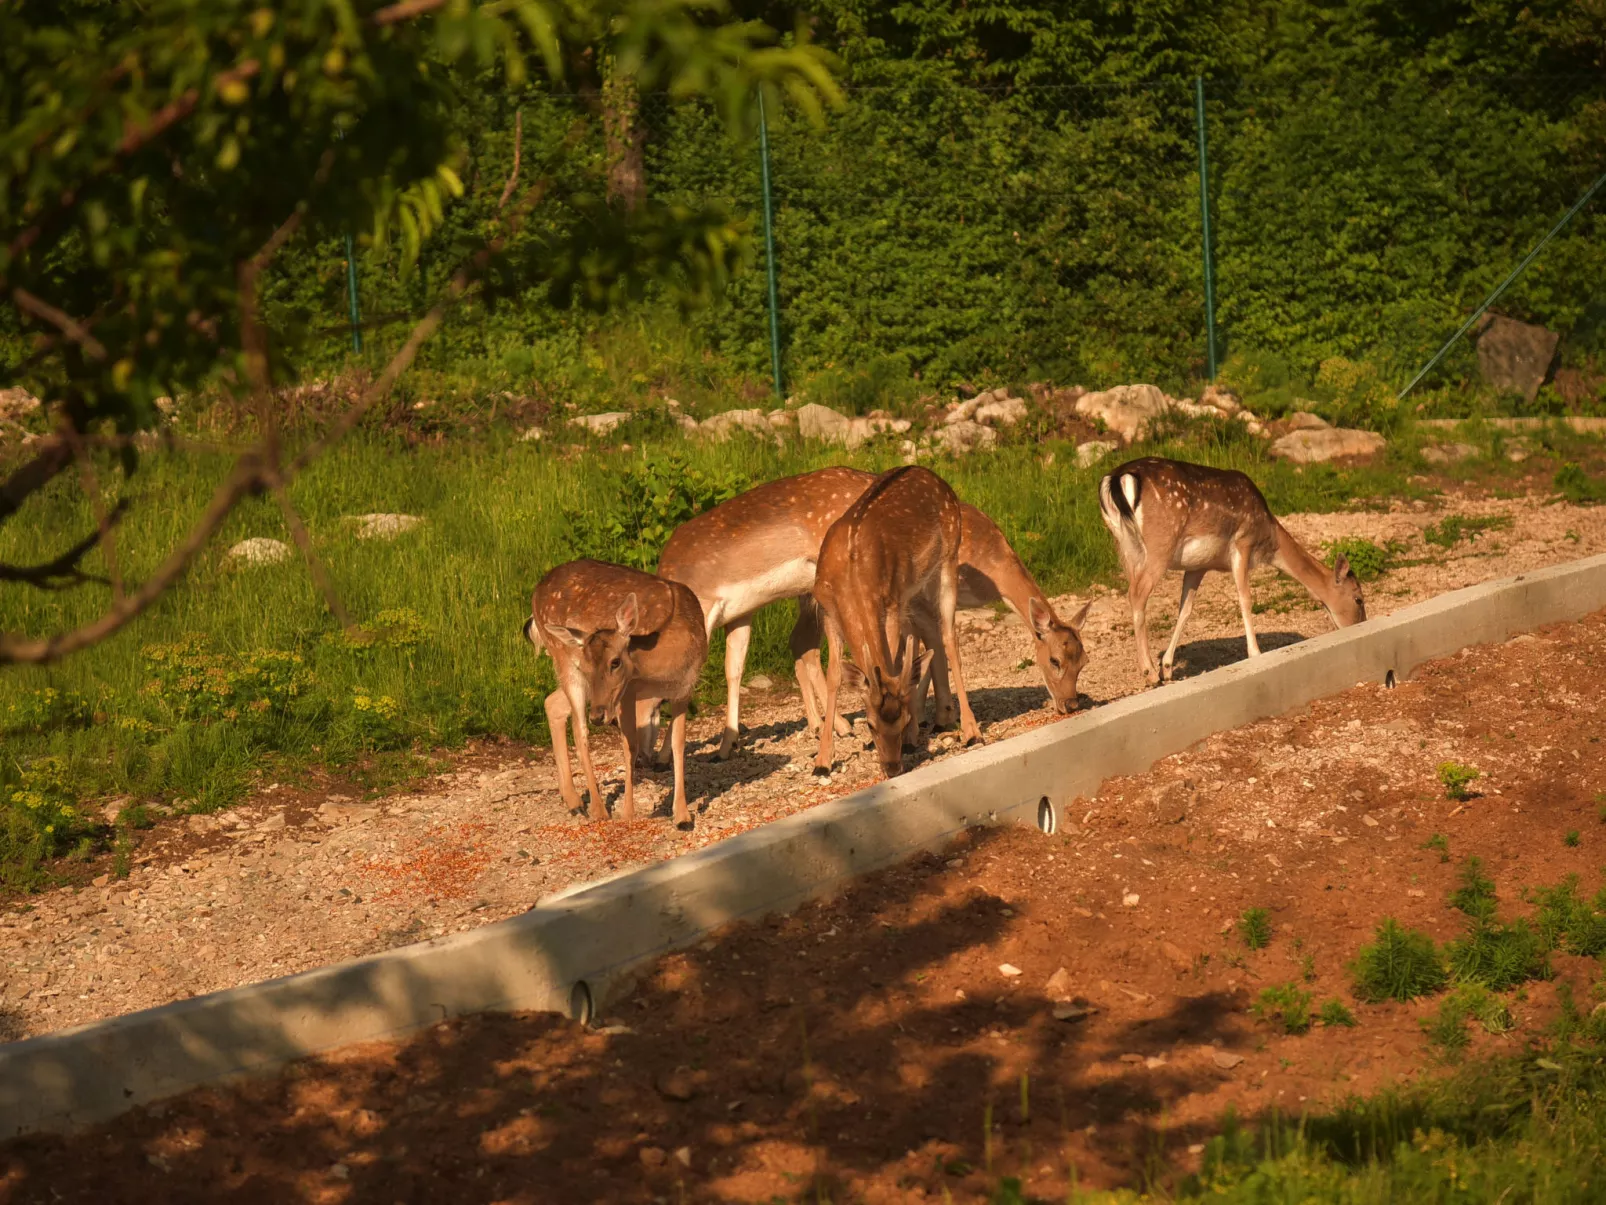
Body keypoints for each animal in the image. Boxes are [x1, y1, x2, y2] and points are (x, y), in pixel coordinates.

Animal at [809, 465, 982, 777]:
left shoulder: (889, 603)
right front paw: (822, 761)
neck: (852, 579)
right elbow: (835, 677)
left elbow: (893, 664)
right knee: (929, 635)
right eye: (870, 725)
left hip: (950, 554)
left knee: (949, 638)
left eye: (900, 722)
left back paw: (971, 731)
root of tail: (932, 475)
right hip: (912, 591)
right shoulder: (827, 610)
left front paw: (912, 734)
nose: (892, 768)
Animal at [1104, 456, 1368, 684]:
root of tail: (1117, 476)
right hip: (1160, 543)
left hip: (1125, 547)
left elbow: (1185, 610)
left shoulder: (1199, 566)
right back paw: (1148, 672)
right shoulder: (1243, 543)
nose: (1360, 625)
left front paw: (1167, 667)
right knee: (1136, 594)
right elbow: (1245, 598)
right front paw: (1256, 653)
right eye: (1358, 599)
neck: (1268, 538)